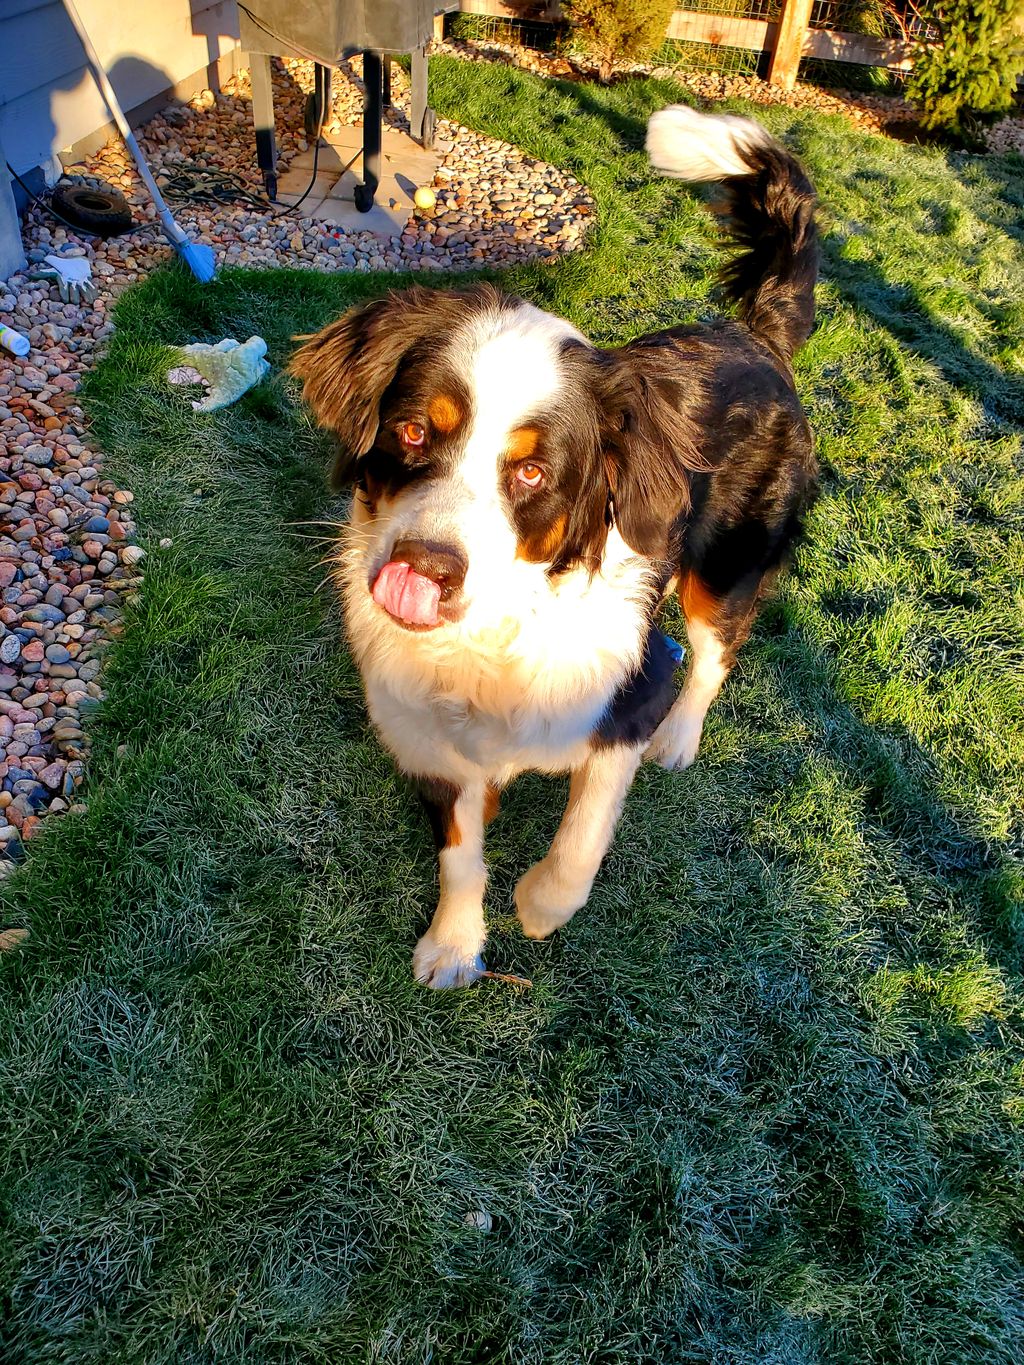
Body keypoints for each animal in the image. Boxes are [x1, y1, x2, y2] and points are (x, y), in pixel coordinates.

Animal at [292, 103, 824, 982]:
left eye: (533, 472)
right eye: (412, 431)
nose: (422, 568)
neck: (491, 641)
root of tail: (757, 340)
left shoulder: (631, 688)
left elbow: (584, 833)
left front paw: (540, 905)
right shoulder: (430, 741)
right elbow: (460, 852)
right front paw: (455, 942)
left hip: (726, 567)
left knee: (716, 654)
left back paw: (681, 739)